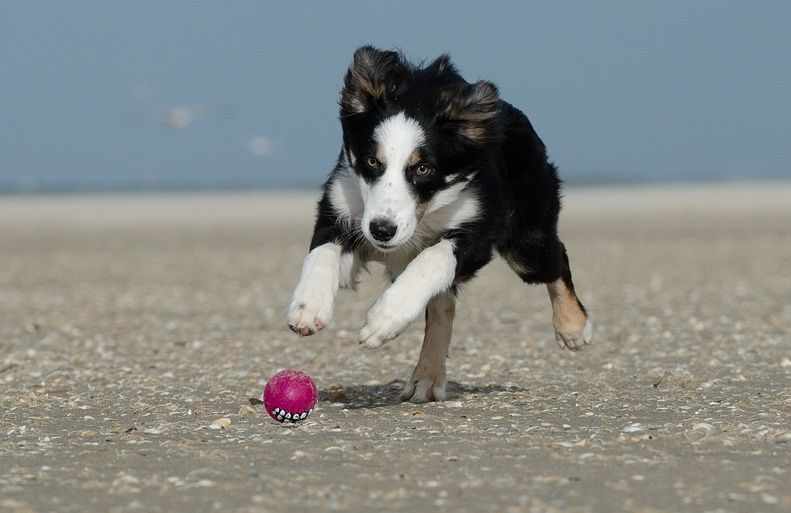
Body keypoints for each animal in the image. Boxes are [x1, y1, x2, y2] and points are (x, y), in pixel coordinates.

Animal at [288, 46, 592, 402]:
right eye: (372, 161)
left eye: (423, 169)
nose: (382, 230)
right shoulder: (341, 205)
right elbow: (322, 252)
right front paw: (308, 307)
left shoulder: (480, 228)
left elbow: (432, 259)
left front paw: (383, 319)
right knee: (443, 305)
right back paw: (428, 377)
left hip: (526, 242)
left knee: (556, 259)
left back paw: (573, 327)